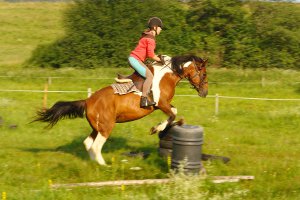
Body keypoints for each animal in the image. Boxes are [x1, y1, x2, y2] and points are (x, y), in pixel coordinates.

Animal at [34, 55, 207, 166]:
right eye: (204, 74)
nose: (205, 93)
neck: (168, 75)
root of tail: (88, 101)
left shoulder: (163, 105)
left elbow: (174, 111)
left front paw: (168, 125)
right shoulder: (161, 103)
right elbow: (172, 114)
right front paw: (156, 128)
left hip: (97, 127)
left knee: (88, 143)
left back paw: (94, 164)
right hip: (106, 127)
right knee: (96, 146)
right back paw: (104, 166)